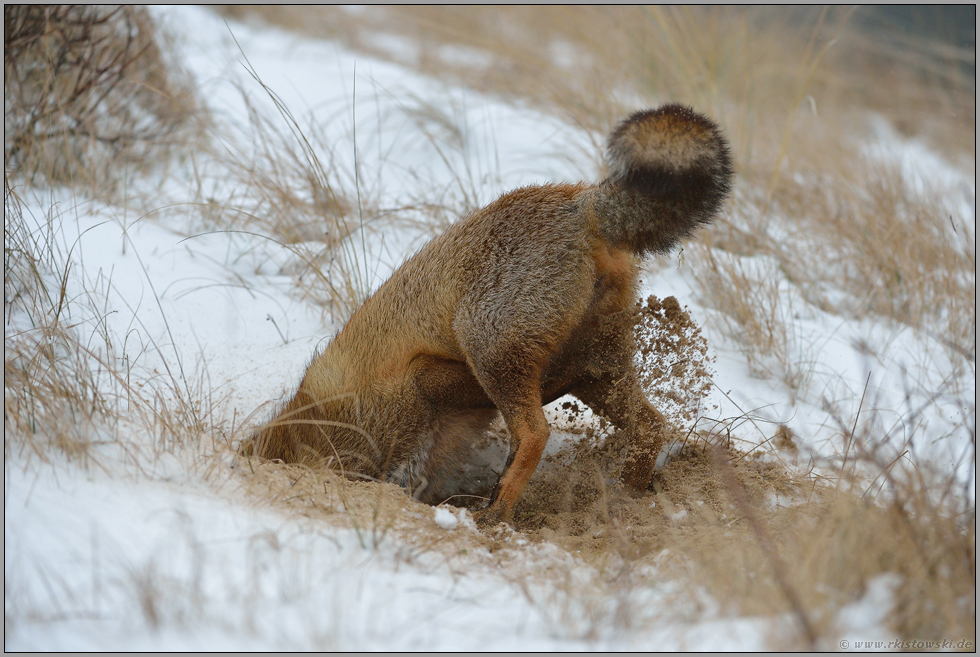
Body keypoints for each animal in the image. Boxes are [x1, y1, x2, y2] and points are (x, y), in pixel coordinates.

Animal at [249, 102, 732, 524]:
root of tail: (580, 203)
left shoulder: (419, 382)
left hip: (492, 351)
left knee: (536, 433)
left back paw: (498, 512)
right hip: (599, 369)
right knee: (650, 426)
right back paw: (623, 500)